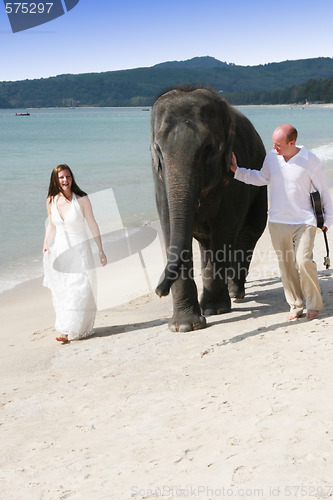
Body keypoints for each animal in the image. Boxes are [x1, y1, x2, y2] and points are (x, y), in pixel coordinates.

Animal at [151, 87, 268, 332]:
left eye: (208, 149)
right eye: (158, 149)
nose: (159, 291)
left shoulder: (234, 180)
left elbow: (224, 228)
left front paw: (215, 310)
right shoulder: (159, 179)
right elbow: (169, 226)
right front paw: (184, 326)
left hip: (261, 191)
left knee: (248, 234)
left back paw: (235, 293)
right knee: (207, 243)